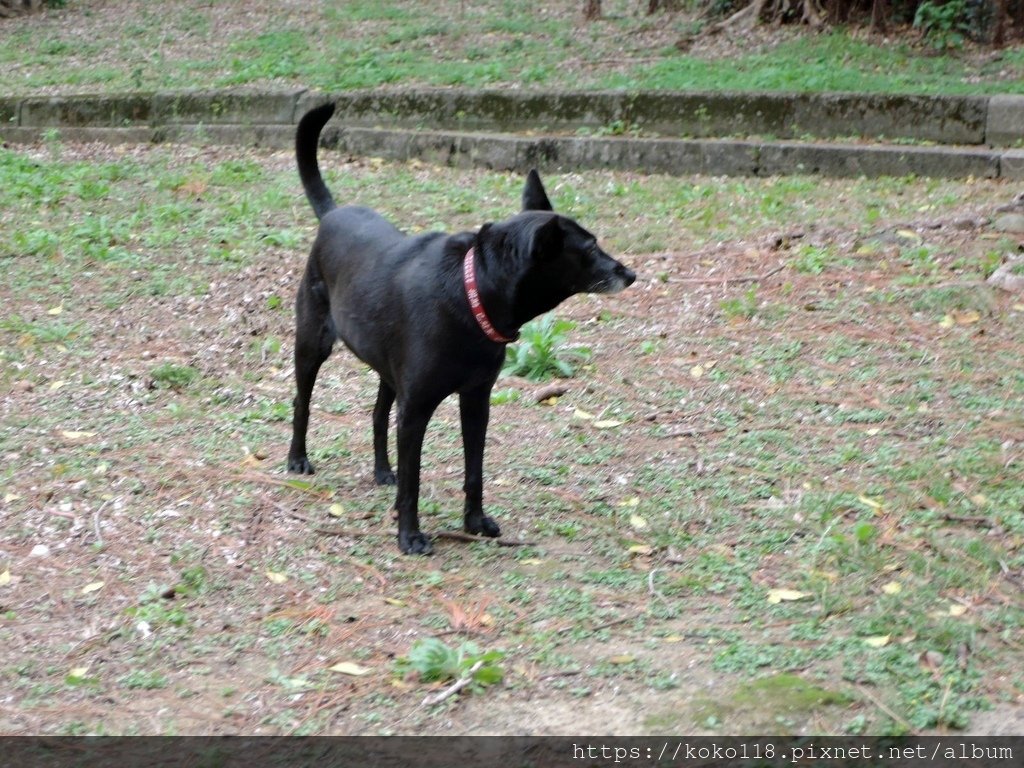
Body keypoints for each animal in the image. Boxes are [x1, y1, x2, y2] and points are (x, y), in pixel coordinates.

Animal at [284, 103, 626, 561]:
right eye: (588, 249)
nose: (629, 273)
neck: (471, 293)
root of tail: (333, 214)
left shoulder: (476, 400)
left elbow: (474, 469)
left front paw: (475, 522)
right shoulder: (416, 410)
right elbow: (414, 482)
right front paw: (409, 536)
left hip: (387, 368)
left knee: (377, 415)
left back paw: (382, 471)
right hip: (312, 342)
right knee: (301, 402)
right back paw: (298, 460)